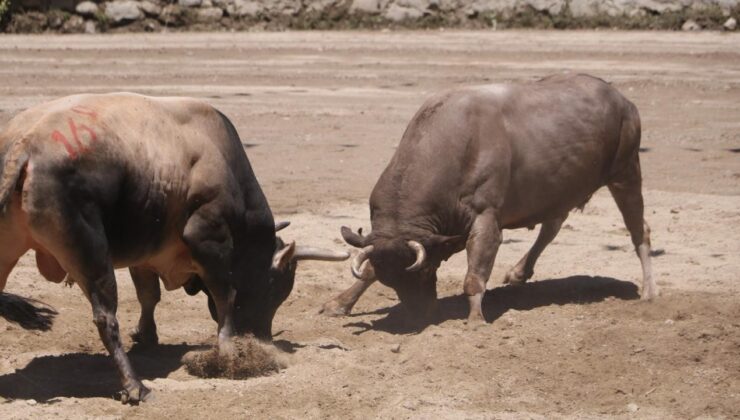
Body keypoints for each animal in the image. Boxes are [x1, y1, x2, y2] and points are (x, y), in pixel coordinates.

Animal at [0, 92, 348, 404]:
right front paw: (227, 351)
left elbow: (149, 296)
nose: (261, 340)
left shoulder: (145, 253)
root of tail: (24, 145)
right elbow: (226, 296)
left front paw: (147, 335)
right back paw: (135, 386)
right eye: (275, 290)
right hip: (90, 254)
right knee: (105, 319)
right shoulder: (208, 239)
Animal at [320, 73, 656, 322]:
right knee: (552, 225)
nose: (419, 316)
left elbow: (476, 272)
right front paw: (339, 303)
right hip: (559, 189)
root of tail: (622, 100)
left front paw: (475, 319)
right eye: (391, 281)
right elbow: (368, 271)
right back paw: (519, 272)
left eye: (425, 271)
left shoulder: (486, 219)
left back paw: (649, 292)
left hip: (626, 171)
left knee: (639, 230)